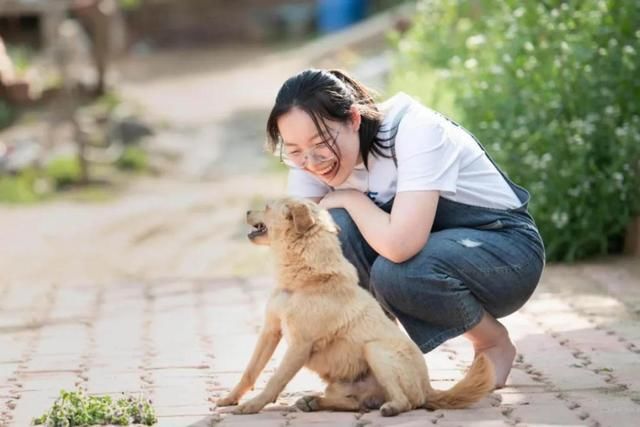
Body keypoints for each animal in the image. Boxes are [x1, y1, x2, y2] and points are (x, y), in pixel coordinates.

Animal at [216, 199, 496, 416]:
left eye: (266, 207)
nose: (246, 211)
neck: (305, 277)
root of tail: (428, 387)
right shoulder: (270, 331)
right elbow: (251, 371)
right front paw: (231, 398)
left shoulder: (299, 345)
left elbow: (276, 379)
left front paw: (253, 405)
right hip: (342, 384)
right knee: (356, 405)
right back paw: (315, 402)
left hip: (375, 351)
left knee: (405, 402)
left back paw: (390, 408)